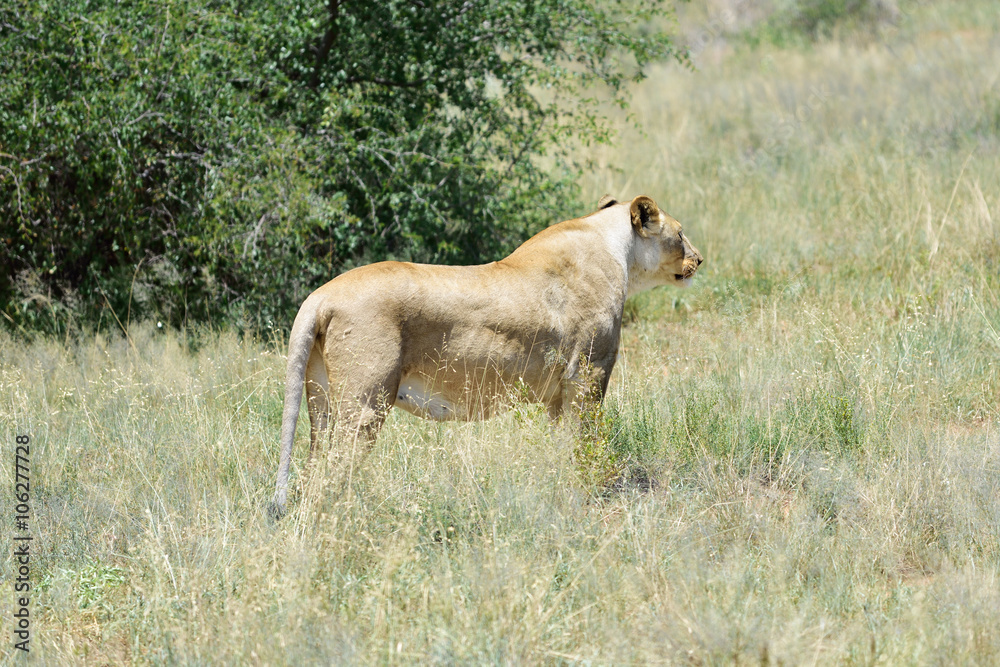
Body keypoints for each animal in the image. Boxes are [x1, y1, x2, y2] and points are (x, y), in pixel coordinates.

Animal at [271, 194, 703, 514]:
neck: (613, 248)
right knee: (332, 473)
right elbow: (586, 444)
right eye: (681, 234)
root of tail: (321, 295)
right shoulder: (588, 376)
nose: (699, 259)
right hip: (365, 403)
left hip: (321, 400)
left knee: (314, 466)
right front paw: (590, 492)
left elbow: (560, 447)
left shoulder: (557, 395)